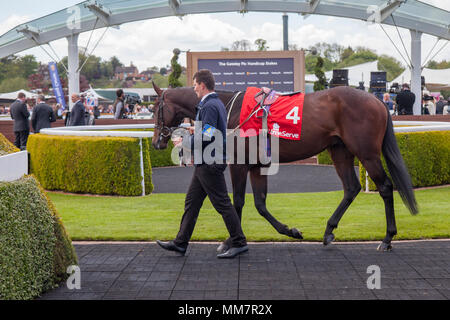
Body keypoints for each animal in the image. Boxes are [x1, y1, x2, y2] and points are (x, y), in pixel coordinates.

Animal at [151, 83, 418, 252]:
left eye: (155, 109)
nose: (156, 142)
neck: (230, 108)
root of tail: (378, 101)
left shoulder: (239, 164)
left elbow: (237, 201)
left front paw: (230, 241)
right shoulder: (257, 166)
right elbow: (260, 204)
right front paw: (291, 231)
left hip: (367, 153)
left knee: (385, 187)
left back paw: (387, 238)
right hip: (339, 150)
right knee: (351, 188)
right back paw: (329, 231)